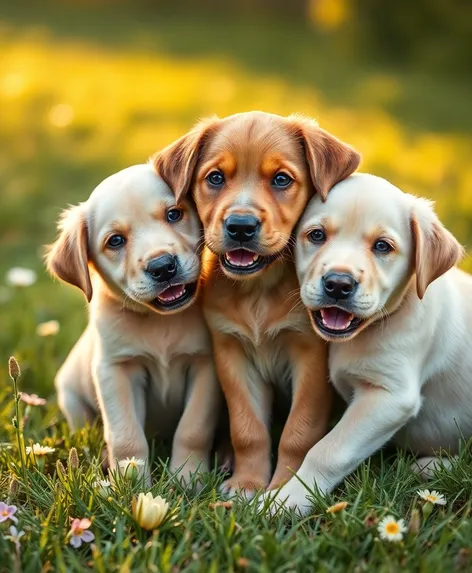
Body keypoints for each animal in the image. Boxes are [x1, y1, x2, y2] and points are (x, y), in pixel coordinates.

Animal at [46, 163, 219, 480]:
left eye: (174, 214)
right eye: (115, 240)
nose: (163, 267)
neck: (161, 321)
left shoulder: (206, 365)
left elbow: (193, 428)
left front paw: (188, 477)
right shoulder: (116, 370)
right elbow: (126, 437)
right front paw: (131, 482)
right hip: (70, 395)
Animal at [153, 111, 360, 496]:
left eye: (281, 179)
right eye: (215, 177)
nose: (240, 226)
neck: (258, 292)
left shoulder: (310, 359)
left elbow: (298, 432)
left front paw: (283, 485)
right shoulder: (232, 354)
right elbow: (247, 429)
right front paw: (247, 483)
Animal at [262, 172, 468, 512]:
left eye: (382, 246)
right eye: (317, 235)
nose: (338, 284)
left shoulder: (390, 396)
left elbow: (327, 451)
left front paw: (285, 501)